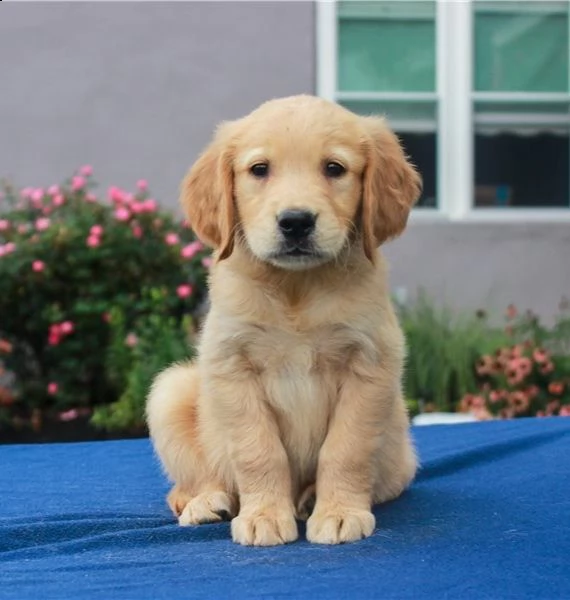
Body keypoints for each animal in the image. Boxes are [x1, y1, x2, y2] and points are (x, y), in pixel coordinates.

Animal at [146, 92, 422, 544]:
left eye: (334, 168)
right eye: (260, 169)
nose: (296, 221)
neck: (297, 287)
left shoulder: (370, 363)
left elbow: (346, 448)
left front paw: (339, 512)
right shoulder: (231, 363)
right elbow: (258, 450)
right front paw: (263, 516)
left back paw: (308, 498)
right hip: (172, 390)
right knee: (192, 481)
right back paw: (205, 501)